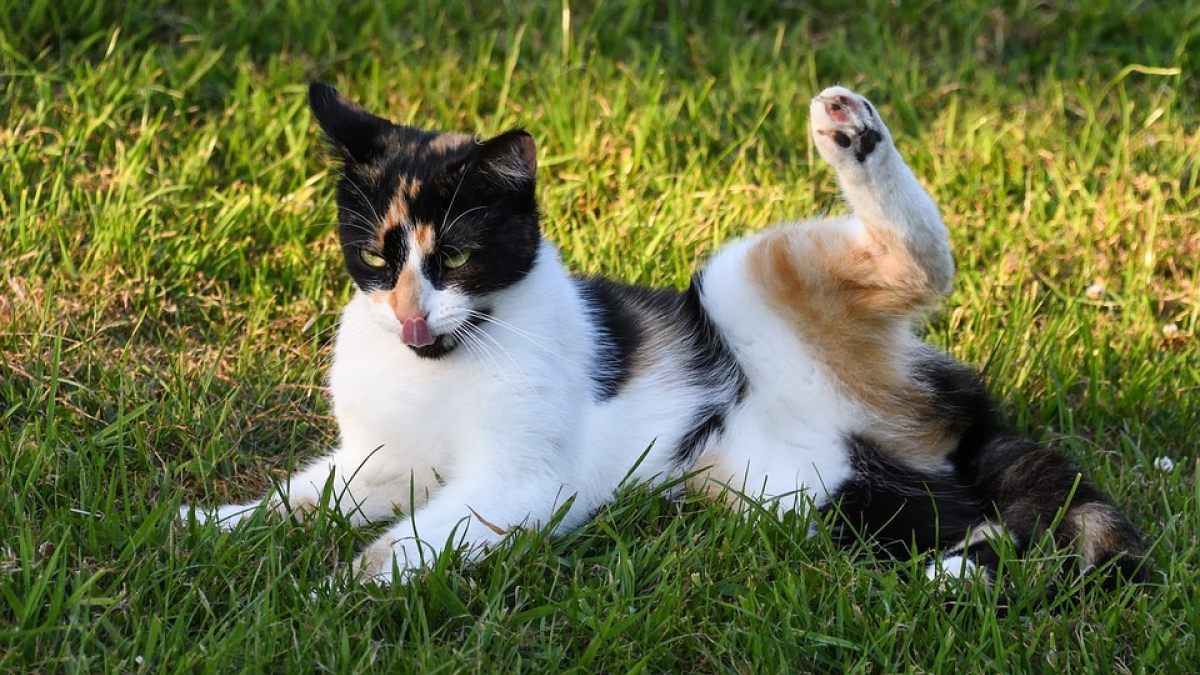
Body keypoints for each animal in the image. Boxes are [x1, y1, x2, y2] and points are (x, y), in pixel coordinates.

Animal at [177, 79, 1142, 588]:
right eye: (377, 257)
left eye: (454, 256)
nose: (411, 313)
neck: (449, 358)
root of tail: (963, 415)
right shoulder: (378, 460)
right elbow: (306, 496)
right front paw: (211, 525)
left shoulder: (522, 483)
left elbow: (406, 541)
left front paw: (332, 591)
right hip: (817, 498)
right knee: (974, 516)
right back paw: (962, 569)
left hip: (742, 279)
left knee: (924, 264)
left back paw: (851, 131)